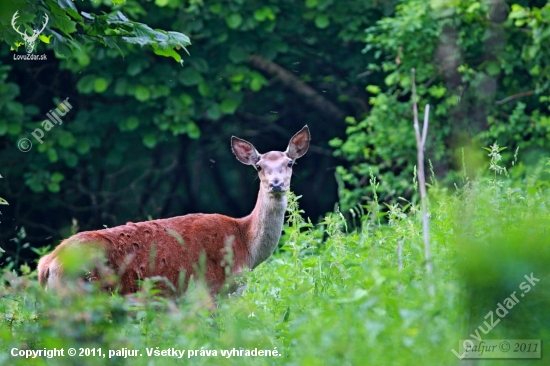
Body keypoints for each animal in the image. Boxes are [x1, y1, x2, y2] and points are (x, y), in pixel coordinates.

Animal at [37, 126, 312, 298]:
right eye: (258, 166)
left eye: (290, 162)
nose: (276, 184)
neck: (247, 247)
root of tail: (47, 264)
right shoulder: (213, 289)